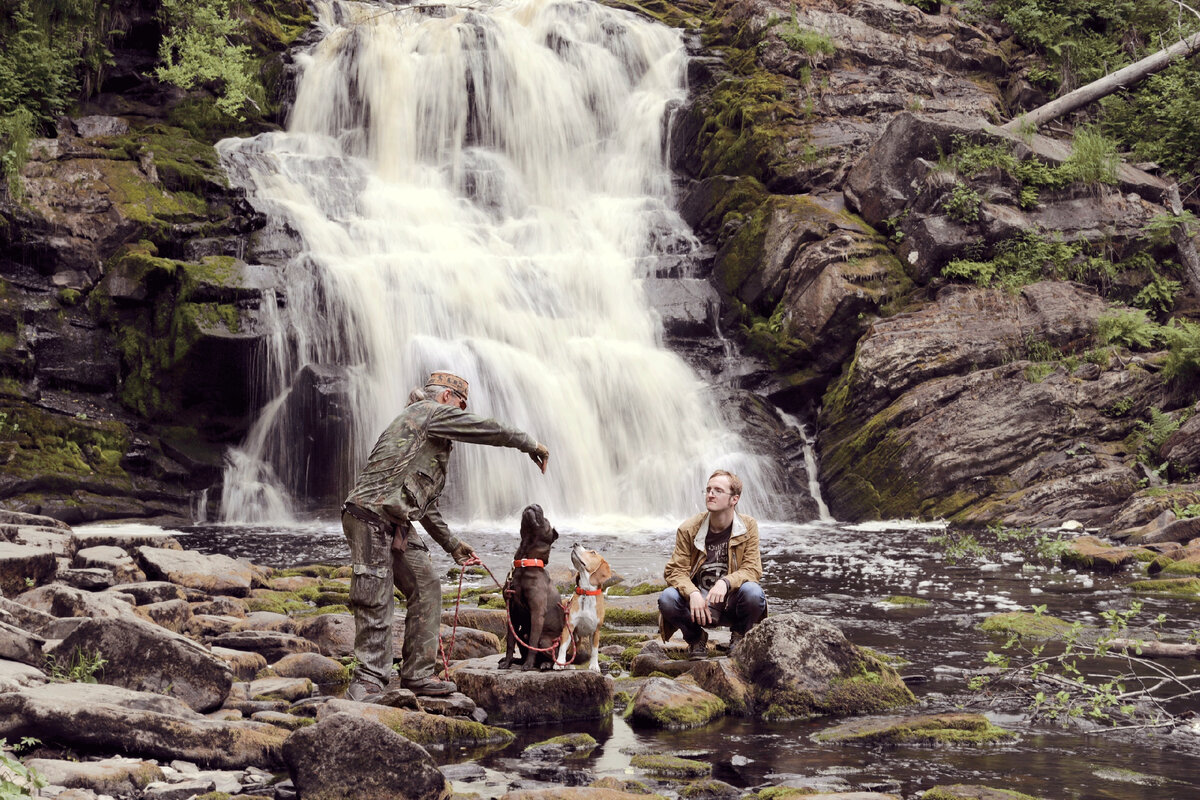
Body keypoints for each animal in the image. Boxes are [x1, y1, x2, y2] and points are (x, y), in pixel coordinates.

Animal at [501, 506, 566, 671]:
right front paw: (507, 662)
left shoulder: (537, 612)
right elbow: (510, 642)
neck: (524, 562)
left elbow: (532, 643)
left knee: (552, 654)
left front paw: (528, 665)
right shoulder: (511, 612)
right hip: (521, 633)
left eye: (546, 520)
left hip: (545, 640)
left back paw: (544, 664)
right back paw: (517, 661)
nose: (535, 504)